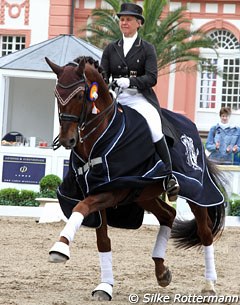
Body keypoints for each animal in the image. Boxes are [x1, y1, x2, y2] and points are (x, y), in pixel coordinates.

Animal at [45, 55, 227, 300]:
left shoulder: (111, 192)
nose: (67, 140)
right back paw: (161, 272)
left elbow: (79, 208)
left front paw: (60, 248)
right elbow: (102, 240)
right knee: (168, 215)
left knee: (205, 233)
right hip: (143, 194)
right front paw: (105, 286)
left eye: (81, 95)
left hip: (196, 192)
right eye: (57, 96)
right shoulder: (97, 190)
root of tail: (192, 127)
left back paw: (209, 284)